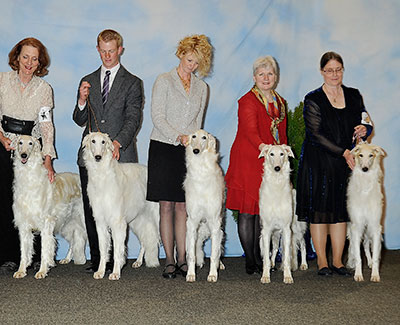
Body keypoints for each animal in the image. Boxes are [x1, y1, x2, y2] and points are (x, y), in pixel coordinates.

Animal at [12, 134, 86, 278]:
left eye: (30, 143)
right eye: (20, 142)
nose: (24, 155)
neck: (29, 179)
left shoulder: (46, 223)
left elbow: (44, 250)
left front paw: (42, 271)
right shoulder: (24, 224)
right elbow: (24, 251)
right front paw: (21, 271)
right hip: (68, 224)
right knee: (73, 242)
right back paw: (66, 259)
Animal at [81, 131, 159, 278]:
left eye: (103, 142)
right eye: (93, 141)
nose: (98, 157)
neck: (102, 176)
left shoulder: (118, 223)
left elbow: (117, 251)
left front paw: (116, 272)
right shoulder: (100, 222)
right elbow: (103, 250)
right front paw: (100, 271)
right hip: (137, 221)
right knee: (144, 241)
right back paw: (138, 261)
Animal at [184, 129, 225, 280]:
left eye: (204, 138)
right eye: (193, 137)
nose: (195, 150)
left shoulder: (214, 221)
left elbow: (214, 254)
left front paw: (212, 275)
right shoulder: (192, 221)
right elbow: (191, 254)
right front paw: (191, 274)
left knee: (218, 246)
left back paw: (220, 265)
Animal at [258, 144, 296, 284]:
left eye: (282, 154)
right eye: (271, 154)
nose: (277, 168)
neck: (276, 183)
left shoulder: (286, 229)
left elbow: (286, 257)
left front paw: (288, 276)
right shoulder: (266, 229)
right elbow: (266, 257)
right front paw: (265, 276)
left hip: (280, 233)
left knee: (277, 250)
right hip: (271, 234)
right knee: (271, 252)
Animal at [346, 142, 384, 280]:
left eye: (371, 155)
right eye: (360, 155)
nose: (365, 169)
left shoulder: (375, 226)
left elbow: (376, 255)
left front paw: (375, 274)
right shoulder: (356, 226)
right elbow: (358, 256)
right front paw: (358, 275)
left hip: (368, 229)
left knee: (367, 245)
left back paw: (371, 262)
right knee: (361, 246)